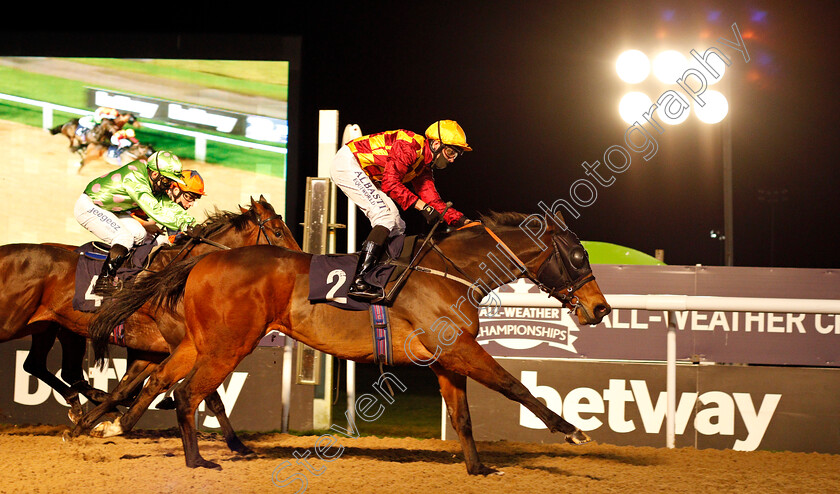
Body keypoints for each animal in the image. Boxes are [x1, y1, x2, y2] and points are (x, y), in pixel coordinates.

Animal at [0, 195, 298, 442]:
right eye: (278, 231)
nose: (297, 259)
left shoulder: (153, 349)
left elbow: (128, 389)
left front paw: (94, 423)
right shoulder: (183, 344)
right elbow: (208, 396)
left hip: (47, 326)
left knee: (38, 365)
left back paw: (79, 404)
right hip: (23, 323)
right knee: (59, 369)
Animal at [87, 210, 612, 472]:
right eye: (577, 256)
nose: (601, 308)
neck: (448, 272)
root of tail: (203, 260)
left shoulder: (447, 359)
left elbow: (463, 417)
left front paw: (478, 469)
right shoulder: (461, 349)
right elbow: (515, 386)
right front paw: (573, 431)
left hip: (199, 342)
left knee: (167, 381)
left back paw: (110, 424)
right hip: (229, 344)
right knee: (187, 392)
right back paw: (197, 461)